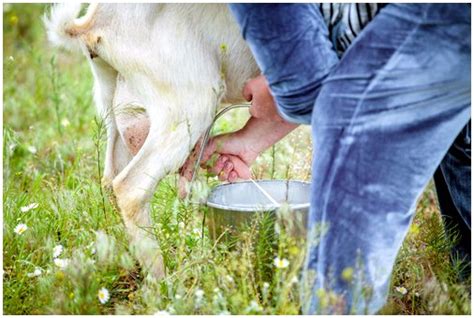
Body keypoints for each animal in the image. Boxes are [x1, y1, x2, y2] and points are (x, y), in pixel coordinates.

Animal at [44, 3, 260, 278]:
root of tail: (93, 21)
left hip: (115, 108)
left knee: (110, 179)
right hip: (189, 102)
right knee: (129, 188)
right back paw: (163, 282)